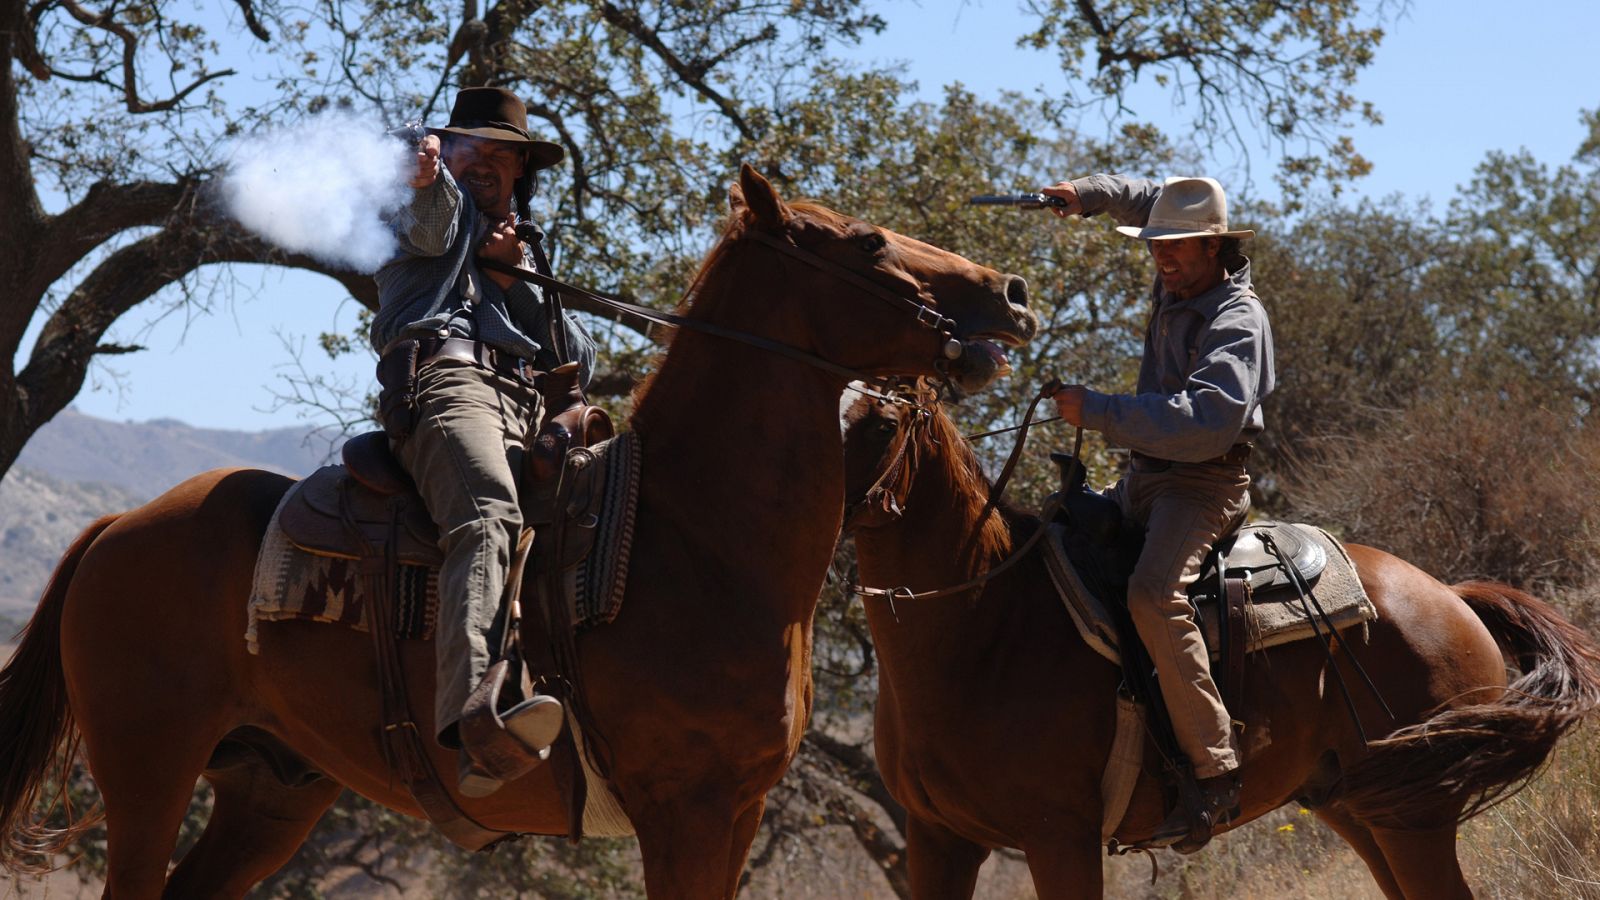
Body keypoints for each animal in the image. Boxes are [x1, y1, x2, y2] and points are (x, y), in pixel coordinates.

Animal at [0, 162, 1036, 896]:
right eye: (867, 241)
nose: (1013, 293)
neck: (697, 545)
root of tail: (120, 526)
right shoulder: (688, 813)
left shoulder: (736, 814)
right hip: (149, 771)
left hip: (271, 792)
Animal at [838, 385, 1600, 896]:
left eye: (883, 421)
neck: (983, 626)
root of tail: (1451, 596)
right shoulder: (939, 840)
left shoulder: (1059, 838)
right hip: (1359, 807)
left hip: (1416, 813)